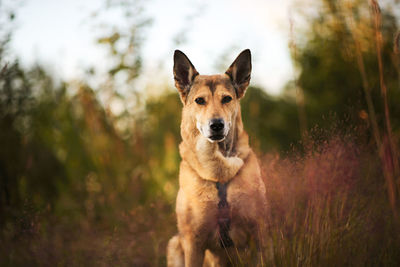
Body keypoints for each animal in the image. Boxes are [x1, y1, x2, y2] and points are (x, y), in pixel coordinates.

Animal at [166, 49, 268, 267]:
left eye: (227, 99)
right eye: (199, 100)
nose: (217, 125)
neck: (218, 171)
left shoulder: (260, 232)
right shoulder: (193, 242)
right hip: (174, 244)